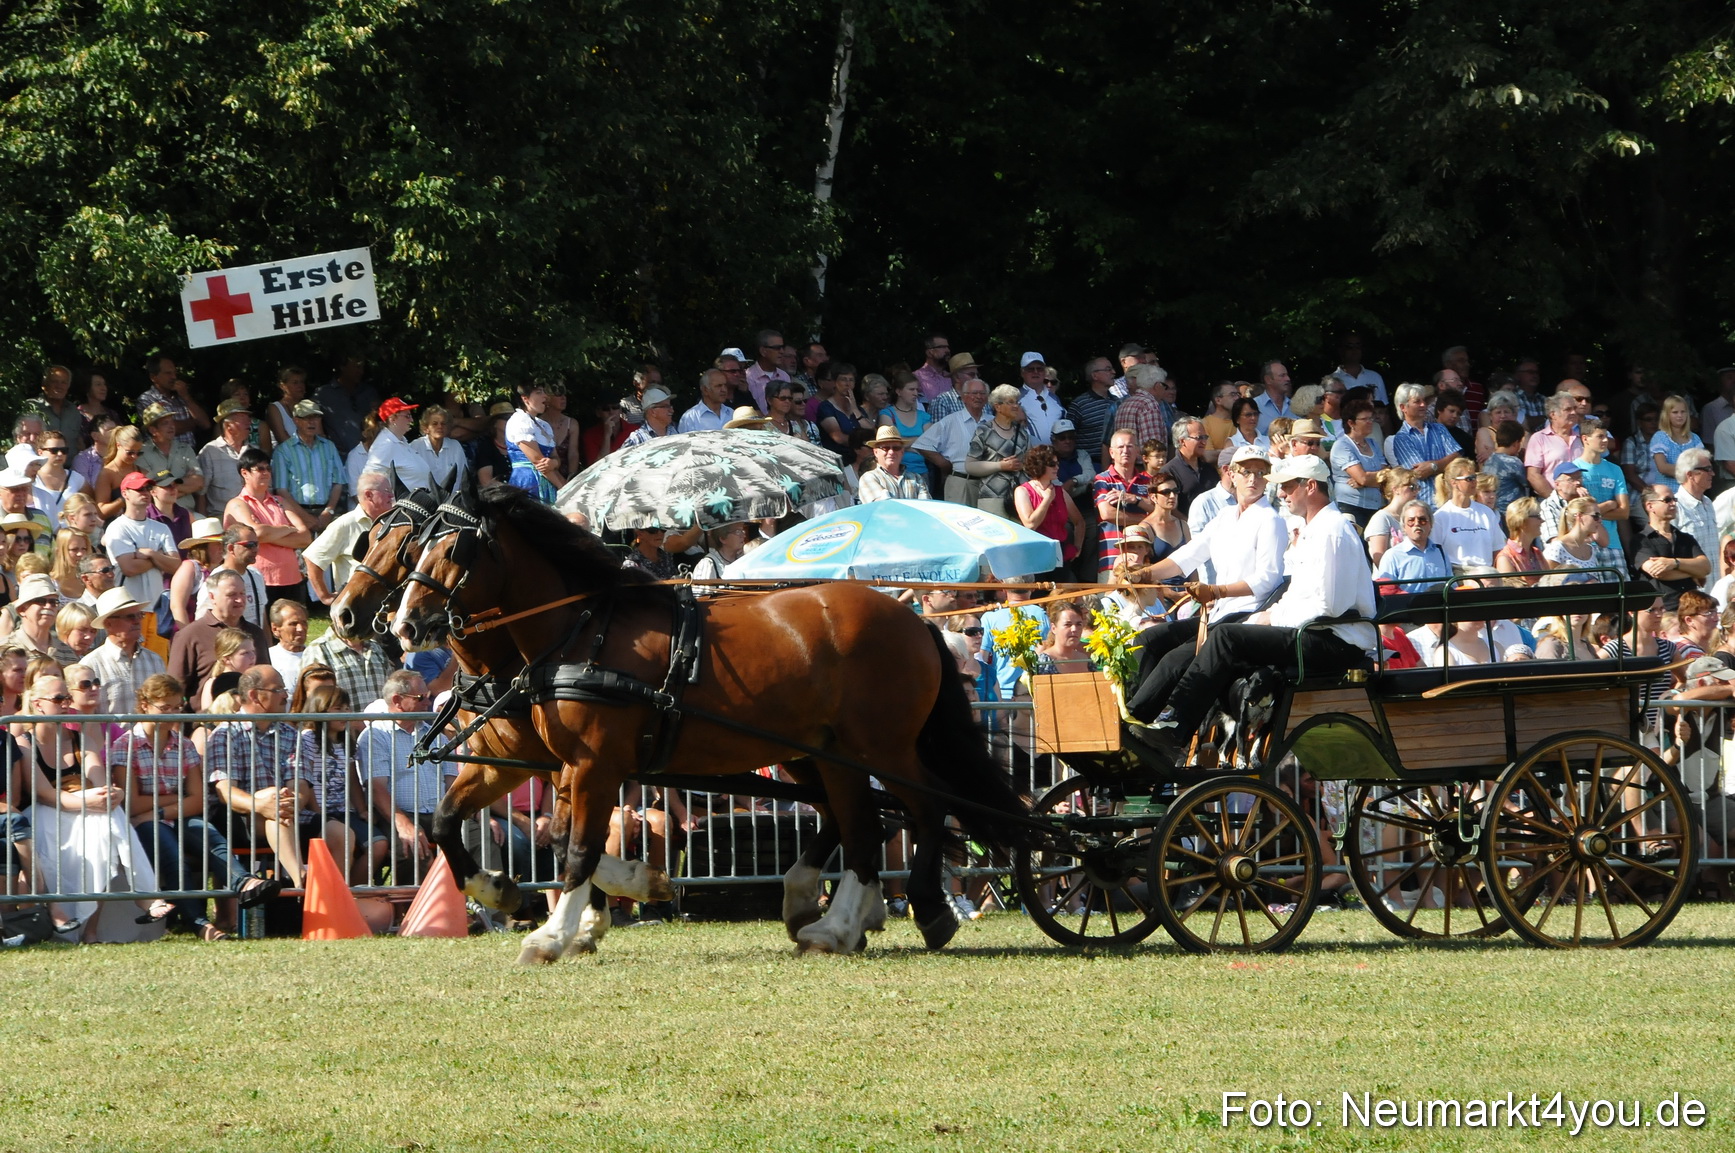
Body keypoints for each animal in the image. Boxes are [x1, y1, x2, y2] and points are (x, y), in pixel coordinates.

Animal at [327, 489, 673, 919]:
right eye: (371, 538)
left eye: (407, 546)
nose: (341, 613)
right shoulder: (525, 762)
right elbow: (557, 835)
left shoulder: (569, 762)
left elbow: (569, 836)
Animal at [389, 480, 1033, 963]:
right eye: (412, 548)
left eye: (454, 550)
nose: (404, 625)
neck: (581, 632)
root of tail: (911, 619)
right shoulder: (544, 762)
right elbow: (461, 823)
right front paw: (527, 898)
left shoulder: (591, 764)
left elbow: (576, 848)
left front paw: (555, 933)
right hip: (825, 751)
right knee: (860, 823)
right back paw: (832, 920)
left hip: (880, 747)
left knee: (918, 810)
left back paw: (916, 908)